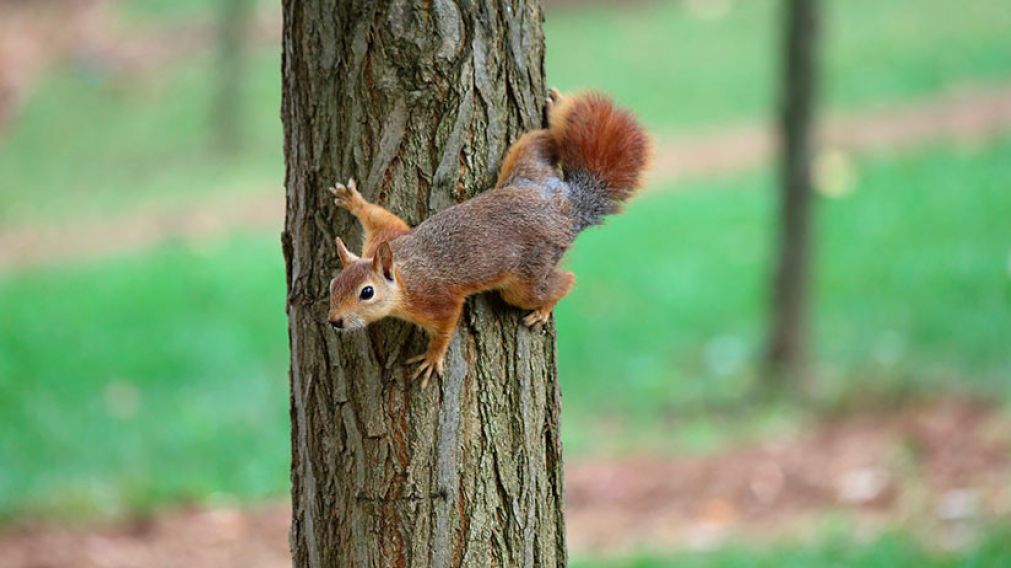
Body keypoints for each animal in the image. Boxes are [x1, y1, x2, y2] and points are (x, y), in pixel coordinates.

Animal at [326, 89, 651, 386]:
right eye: (332, 284)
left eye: (367, 292)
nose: (334, 321)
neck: (405, 273)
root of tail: (567, 206)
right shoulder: (388, 236)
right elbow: (380, 216)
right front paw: (352, 199)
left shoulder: (437, 299)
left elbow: (445, 327)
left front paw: (432, 357)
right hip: (526, 163)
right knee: (541, 139)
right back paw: (557, 107)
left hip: (525, 279)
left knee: (561, 282)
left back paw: (544, 308)